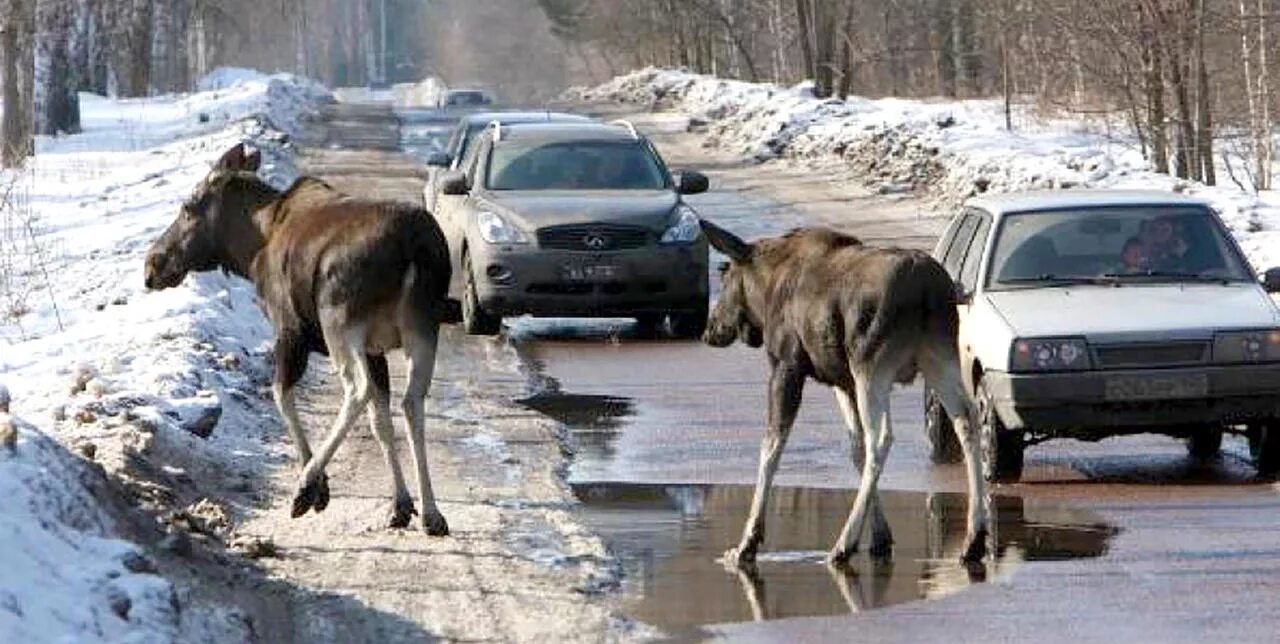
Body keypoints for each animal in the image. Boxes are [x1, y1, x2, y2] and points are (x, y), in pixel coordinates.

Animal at [147, 144, 458, 535]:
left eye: (189, 207)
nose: (153, 264)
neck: (252, 247)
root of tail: (414, 247)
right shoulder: (376, 351)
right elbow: (381, 423)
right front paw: (400, 505)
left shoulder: (290, 331)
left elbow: (281, 394)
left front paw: (318, 485)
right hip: (422, 328)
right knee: (411, 402)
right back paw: (432, 513)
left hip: (339, 322)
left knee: (356, 390)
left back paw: (307, 484)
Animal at [701, 221, 988, 568]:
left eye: (725, 276)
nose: (710, 329)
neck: (767, 289)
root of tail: (928, 291)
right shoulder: (842, 381)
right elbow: (855, 447)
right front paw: (880, 535)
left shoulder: (788, 366)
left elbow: (771, 448)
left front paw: (747, 543)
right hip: (937, 356)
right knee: (966, 419)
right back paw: (974, 538)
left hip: (872, 364)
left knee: (882, 437)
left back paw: (843, 543)